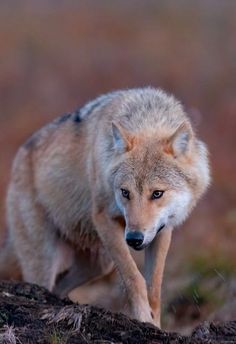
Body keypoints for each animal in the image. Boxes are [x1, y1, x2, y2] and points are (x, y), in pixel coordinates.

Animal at [0, 87, 210, 326]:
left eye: (157, 193)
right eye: (125, 192)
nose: (134, 239)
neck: (148, 119)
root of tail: (19, 155)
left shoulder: (163, 230)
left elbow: (154, 289)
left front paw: (155, 325)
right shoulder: (104, 219)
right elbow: (134, 278)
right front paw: (143, 319)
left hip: (99, 263)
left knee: (60, 288)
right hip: (46, 258)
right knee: (42, 283)